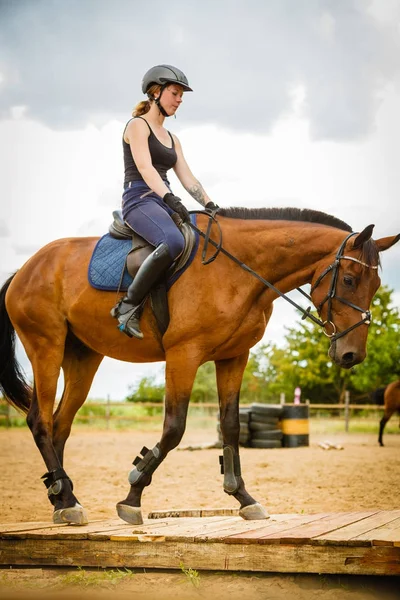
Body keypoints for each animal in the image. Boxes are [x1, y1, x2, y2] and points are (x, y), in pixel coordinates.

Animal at [0, 207, 398, 524]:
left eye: (377, 284)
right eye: (349, 280)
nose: (352, 355)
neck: (240, 271)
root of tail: (25, 268)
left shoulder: (234, 357)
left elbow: (231, 427)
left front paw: (244, 498)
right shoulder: (184, 355)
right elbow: (174, 429)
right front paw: (132, 496)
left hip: (83, 358)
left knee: (60, 425)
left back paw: (63, 499)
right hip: (47, 348)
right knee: (40, 421)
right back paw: (66, 499)